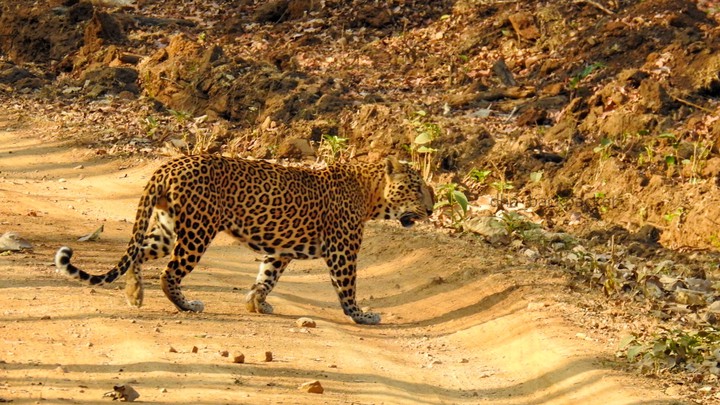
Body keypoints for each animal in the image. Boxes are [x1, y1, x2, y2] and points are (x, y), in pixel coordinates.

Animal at [54, 154, 434, 324]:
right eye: (416, 187)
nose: (432, 210)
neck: (370, 192)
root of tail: (170, 165)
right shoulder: (343, 250)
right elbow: (348, 288)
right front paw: (361, 316)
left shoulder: (280, 250)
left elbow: (266, 278)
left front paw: (257, 304)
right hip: (198, 231)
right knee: (169, 273)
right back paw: (186, 305)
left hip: (166, 227)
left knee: (137, 254)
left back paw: (135, 294)